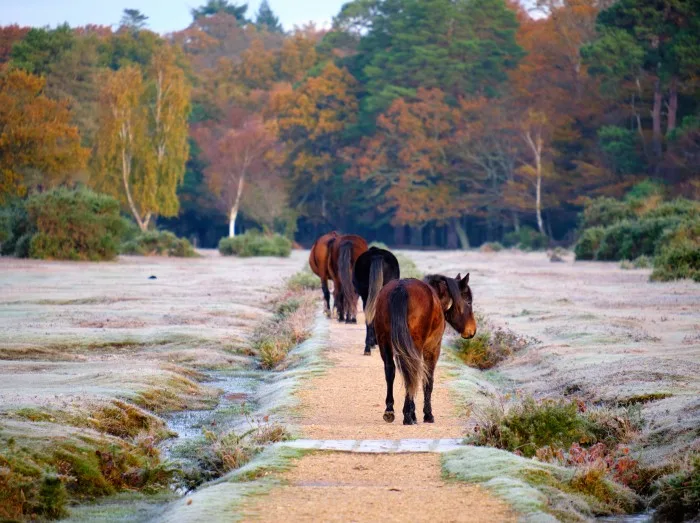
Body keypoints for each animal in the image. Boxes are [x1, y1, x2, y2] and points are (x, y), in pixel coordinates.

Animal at [374, 274, 478, 426]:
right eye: (469, 302)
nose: (472, 330)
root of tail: (401, 288)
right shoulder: (433, 349)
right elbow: (428, 380)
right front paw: (427, 414)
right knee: (411, 372)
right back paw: (408, 415)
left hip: (384, 342)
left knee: (390, 371)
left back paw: (390, 411)